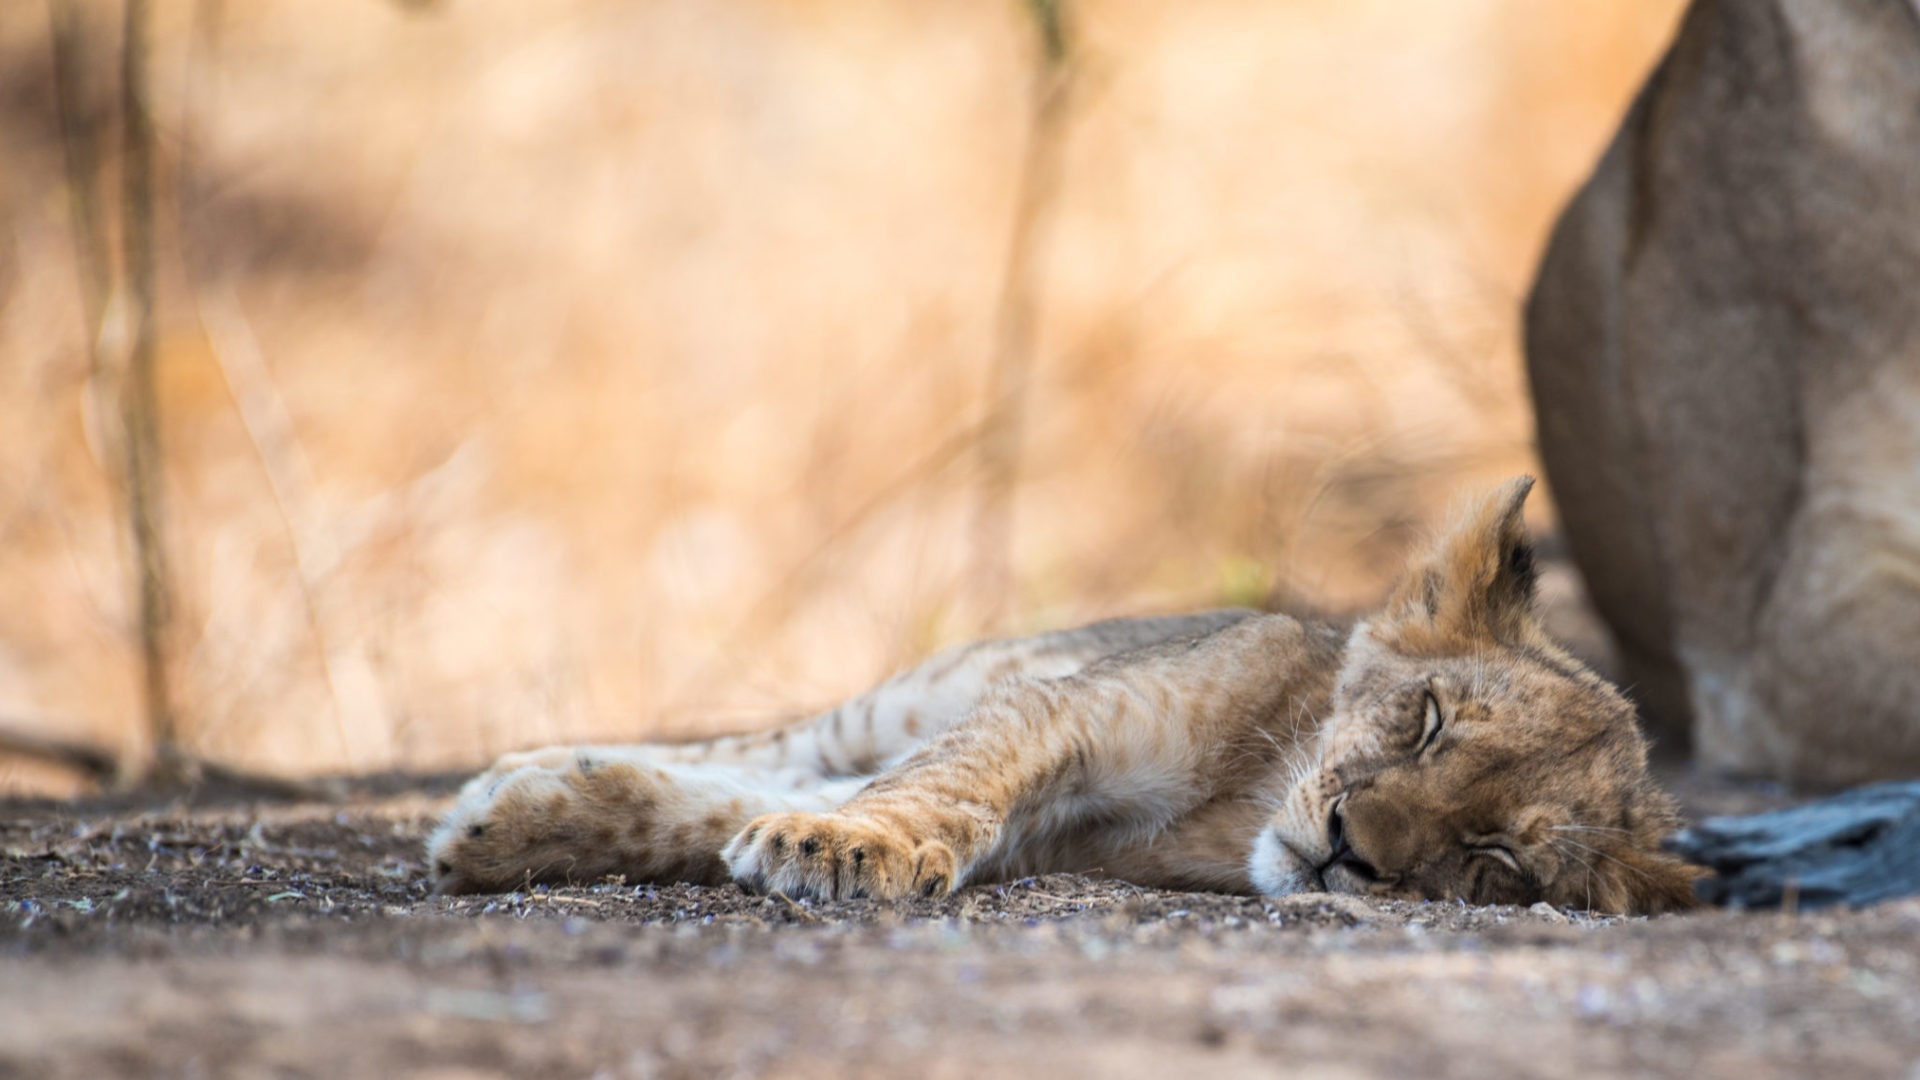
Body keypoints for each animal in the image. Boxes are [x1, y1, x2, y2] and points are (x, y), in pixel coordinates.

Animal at [428, 478, 1700, 915]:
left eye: (1499, 858)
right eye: (1427, 719)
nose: (1350, 849)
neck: (1245, 798)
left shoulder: (1054, 844)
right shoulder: (1068, 713)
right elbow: (944, 785)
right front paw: (844, 854)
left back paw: (515, 814)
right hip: (925, 688)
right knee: (791, 748)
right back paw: (511, 789)